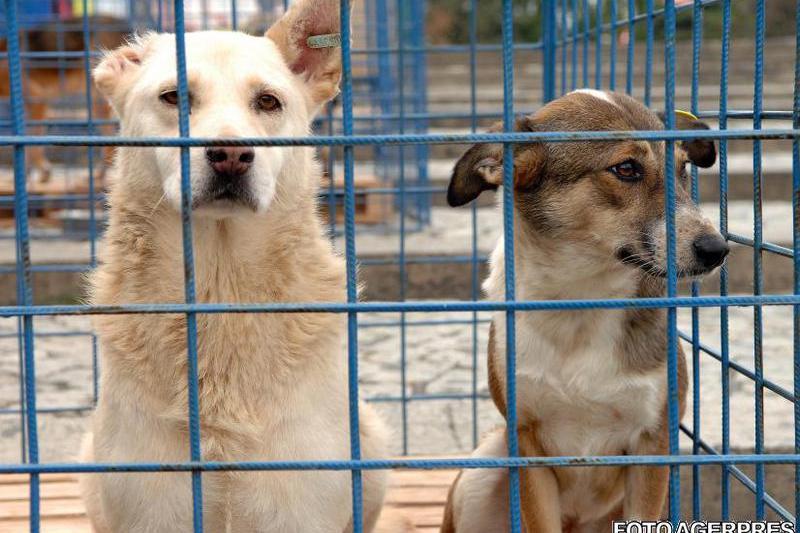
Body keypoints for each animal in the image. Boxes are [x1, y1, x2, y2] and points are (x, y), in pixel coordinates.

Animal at [440, 89, 728, 528]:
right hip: (480, 474)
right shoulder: (527, 446)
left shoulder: (653, 444)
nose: (717, 249)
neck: (580, 297)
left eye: (682, 168)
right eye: (625, 168)